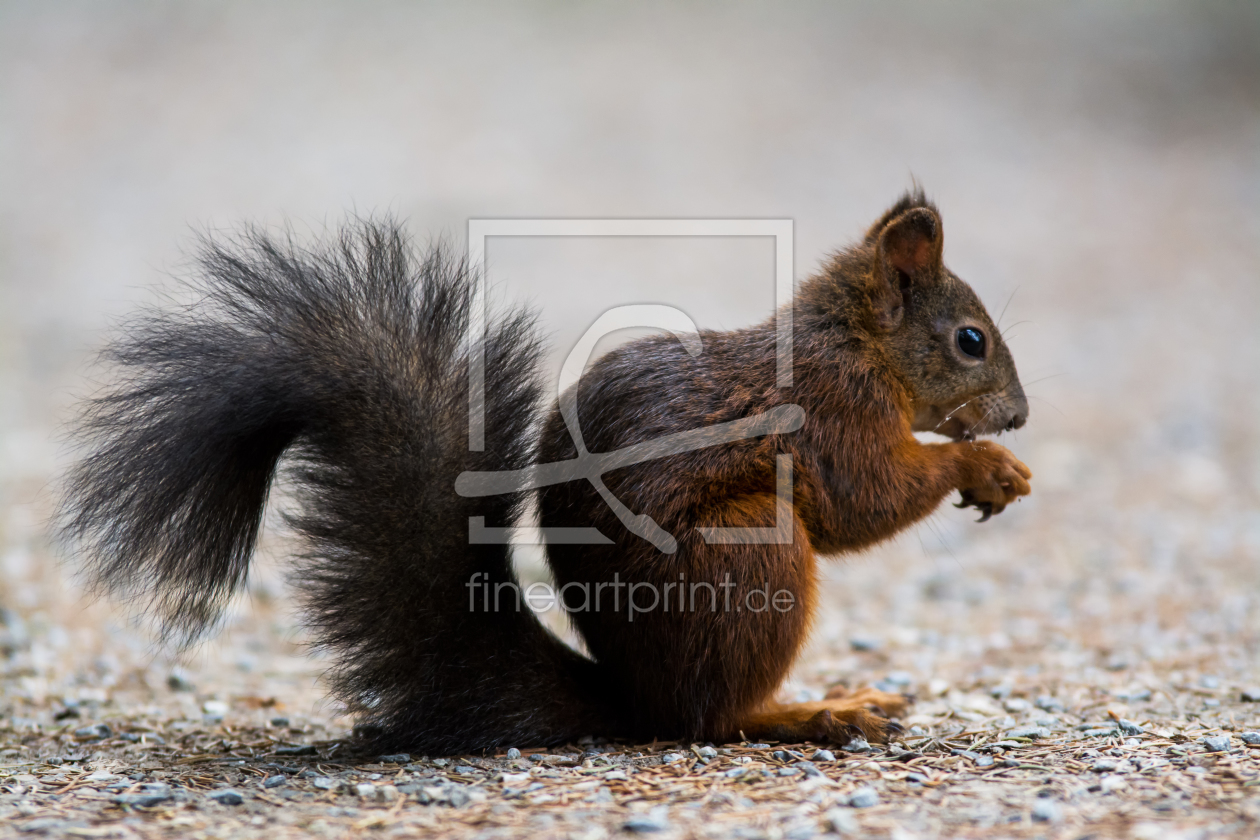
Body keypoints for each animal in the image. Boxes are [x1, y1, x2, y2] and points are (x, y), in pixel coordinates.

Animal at [54, 190, 1028, 755]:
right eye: (970, 340)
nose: (1019, 415)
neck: (857, 345)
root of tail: (631, 695)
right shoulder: (832, 414)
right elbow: (865, 499)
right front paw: (984, 464)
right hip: (747, 557)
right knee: (705, 721)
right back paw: (811, 712)